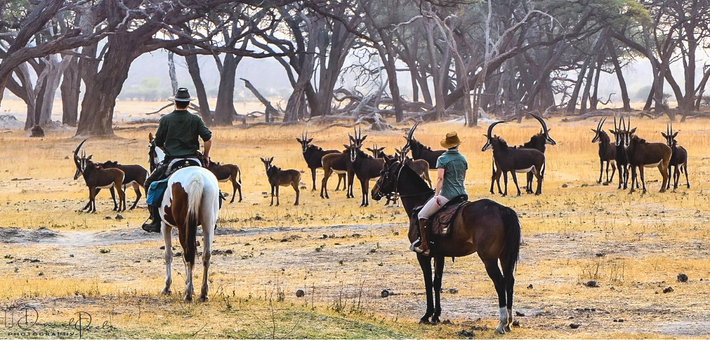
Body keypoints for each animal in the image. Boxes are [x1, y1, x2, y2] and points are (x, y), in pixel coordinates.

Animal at [372, 158, 524, 334]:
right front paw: (436, 316)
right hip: (505, 257)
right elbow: (437, 283)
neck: (419, 201)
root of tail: (502, 209)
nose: (373, 192)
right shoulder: (440, 255)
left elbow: (428, 282)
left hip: (489, 259)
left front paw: (427, 315)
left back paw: (501, 323)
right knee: (509, 281)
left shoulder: (423, 255)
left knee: (500, 282)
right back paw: (509, 322)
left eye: (383, 172)